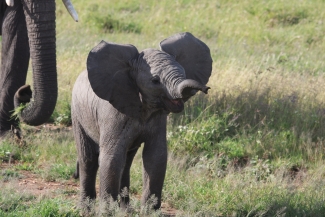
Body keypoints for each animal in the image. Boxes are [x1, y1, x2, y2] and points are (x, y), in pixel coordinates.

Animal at [72, 31, 211, 212]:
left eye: (184, 72)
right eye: (155, 80)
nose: (207, 88)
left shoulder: (158, 119)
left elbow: (156, 157)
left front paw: (150, 212)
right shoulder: (113, 114)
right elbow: (111, 158)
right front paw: (107, 212)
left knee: (127, 161)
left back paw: (125, 210)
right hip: (77, 112)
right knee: (88, 159)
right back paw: (86, 210)